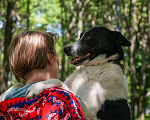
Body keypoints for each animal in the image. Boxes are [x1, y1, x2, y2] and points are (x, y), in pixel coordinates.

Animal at [1, 26, 131, 119]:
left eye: (88, 38)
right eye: (80, 36)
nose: (65, 49)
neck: (95, 67)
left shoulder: (90, 113)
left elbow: (59, 81)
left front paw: (37, 86)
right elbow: (18, 84)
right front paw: (4, 94)